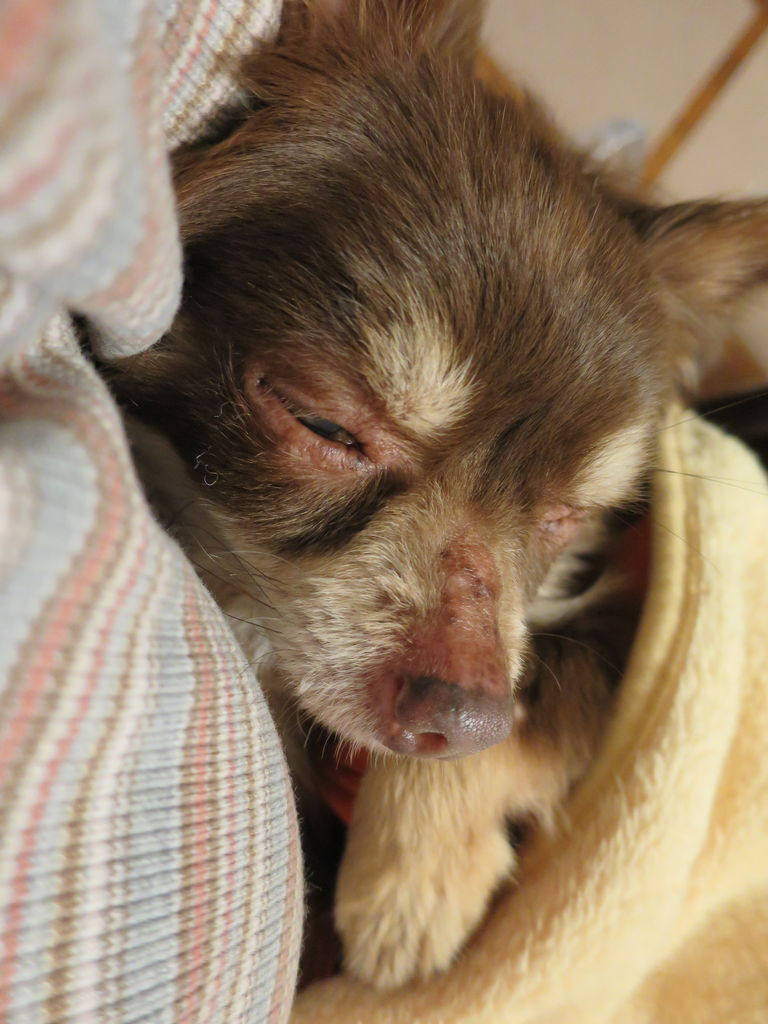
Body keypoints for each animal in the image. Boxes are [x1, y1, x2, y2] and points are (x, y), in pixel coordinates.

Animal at [102, 0, 768, 991]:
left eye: (564, 518)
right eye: (325, 426)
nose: (466, 714)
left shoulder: (650, 616)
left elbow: (550, 671)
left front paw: (414, 882)